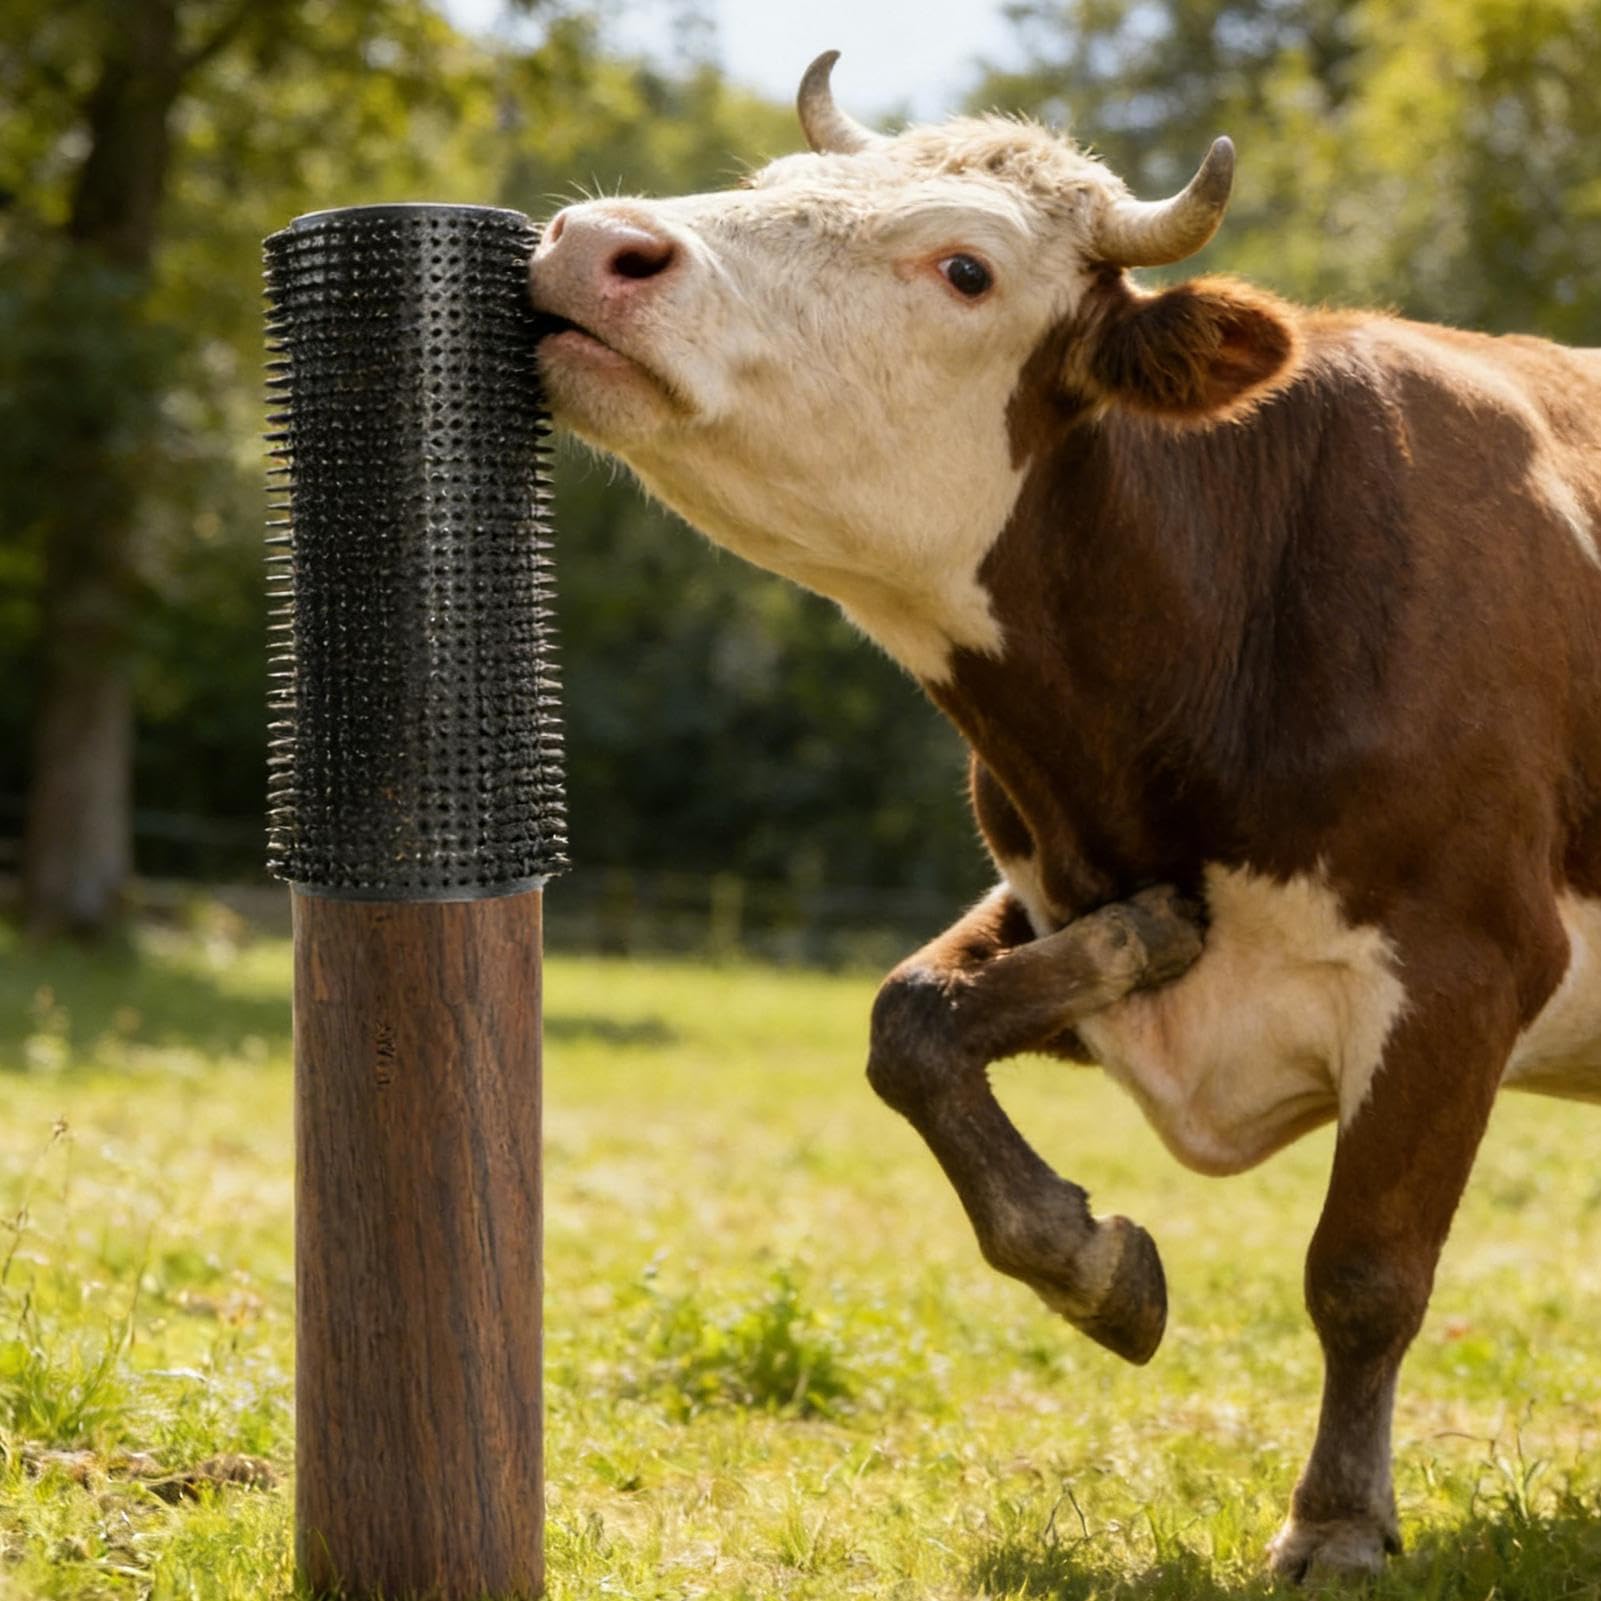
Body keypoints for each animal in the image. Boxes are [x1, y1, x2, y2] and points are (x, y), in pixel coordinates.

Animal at [529, 51, 1601, 1579]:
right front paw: (1096, 1263)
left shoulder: (1465, 963)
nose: (594, 243)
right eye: (771, 186)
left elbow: (1363, 1271)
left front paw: (1336, 1520)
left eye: (965, 268)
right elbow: (911, 1023)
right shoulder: (1056, 872)